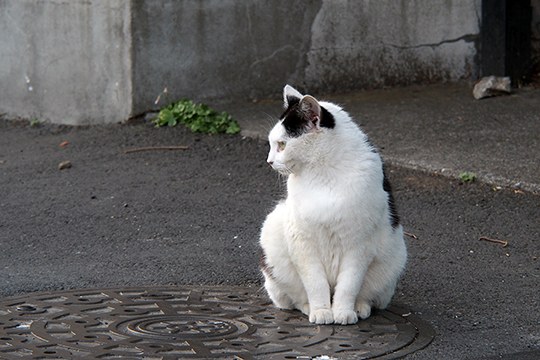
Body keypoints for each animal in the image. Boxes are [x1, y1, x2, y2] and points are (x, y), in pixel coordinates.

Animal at [260, 85, 408, 326]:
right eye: (273, 144)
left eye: (282, 144)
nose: (269, 161)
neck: (323, 173)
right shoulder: (303, 241)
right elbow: (315, 283)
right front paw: (321, 312)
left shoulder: (359, 245)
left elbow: (349, 285)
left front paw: (343, 312)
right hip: (272, 234)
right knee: (293, 299)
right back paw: (308, 307)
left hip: (393, 259)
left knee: (367, 296)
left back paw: (359, 308)